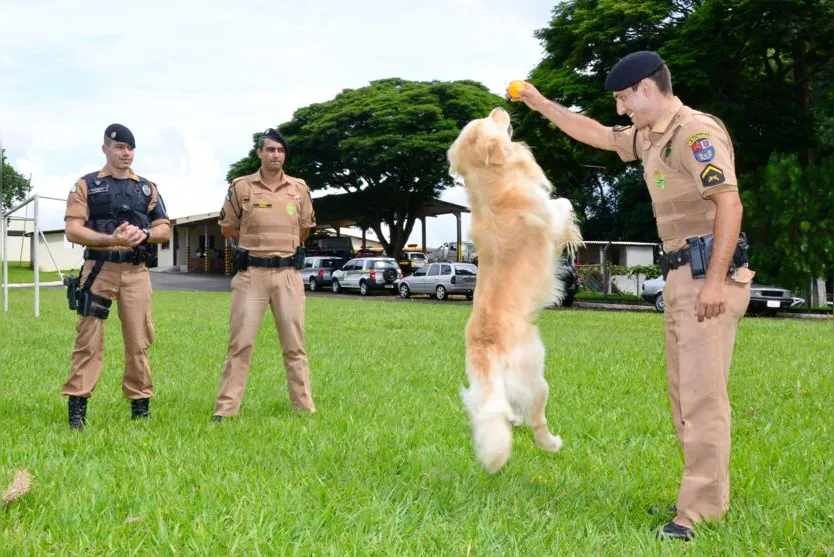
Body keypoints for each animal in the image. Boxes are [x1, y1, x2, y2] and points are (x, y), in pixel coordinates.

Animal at [448, 107, 580, 474]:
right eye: (493, 122)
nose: (500, 108)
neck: (491, 187)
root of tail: (485, 349)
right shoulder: (548, 217)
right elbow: (561, 204)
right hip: (536, 378)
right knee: (537, 421)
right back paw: (552, 443)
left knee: (503, 414)